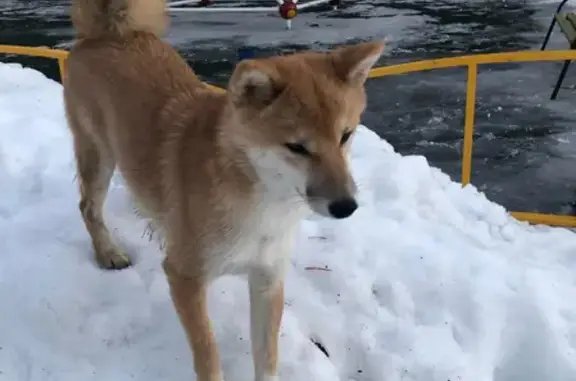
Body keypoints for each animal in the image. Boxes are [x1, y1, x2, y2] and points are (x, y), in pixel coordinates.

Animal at [63, 1, 384, 378]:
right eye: (297, 147)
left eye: (346, 135)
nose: (346, 206)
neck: (262, 202)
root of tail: (108, 34)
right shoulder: (184, 277)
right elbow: (207, 353)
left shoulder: (267, 278)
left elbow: (266, 357)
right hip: (98, 155)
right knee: (88, 207)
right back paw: (108, 252)